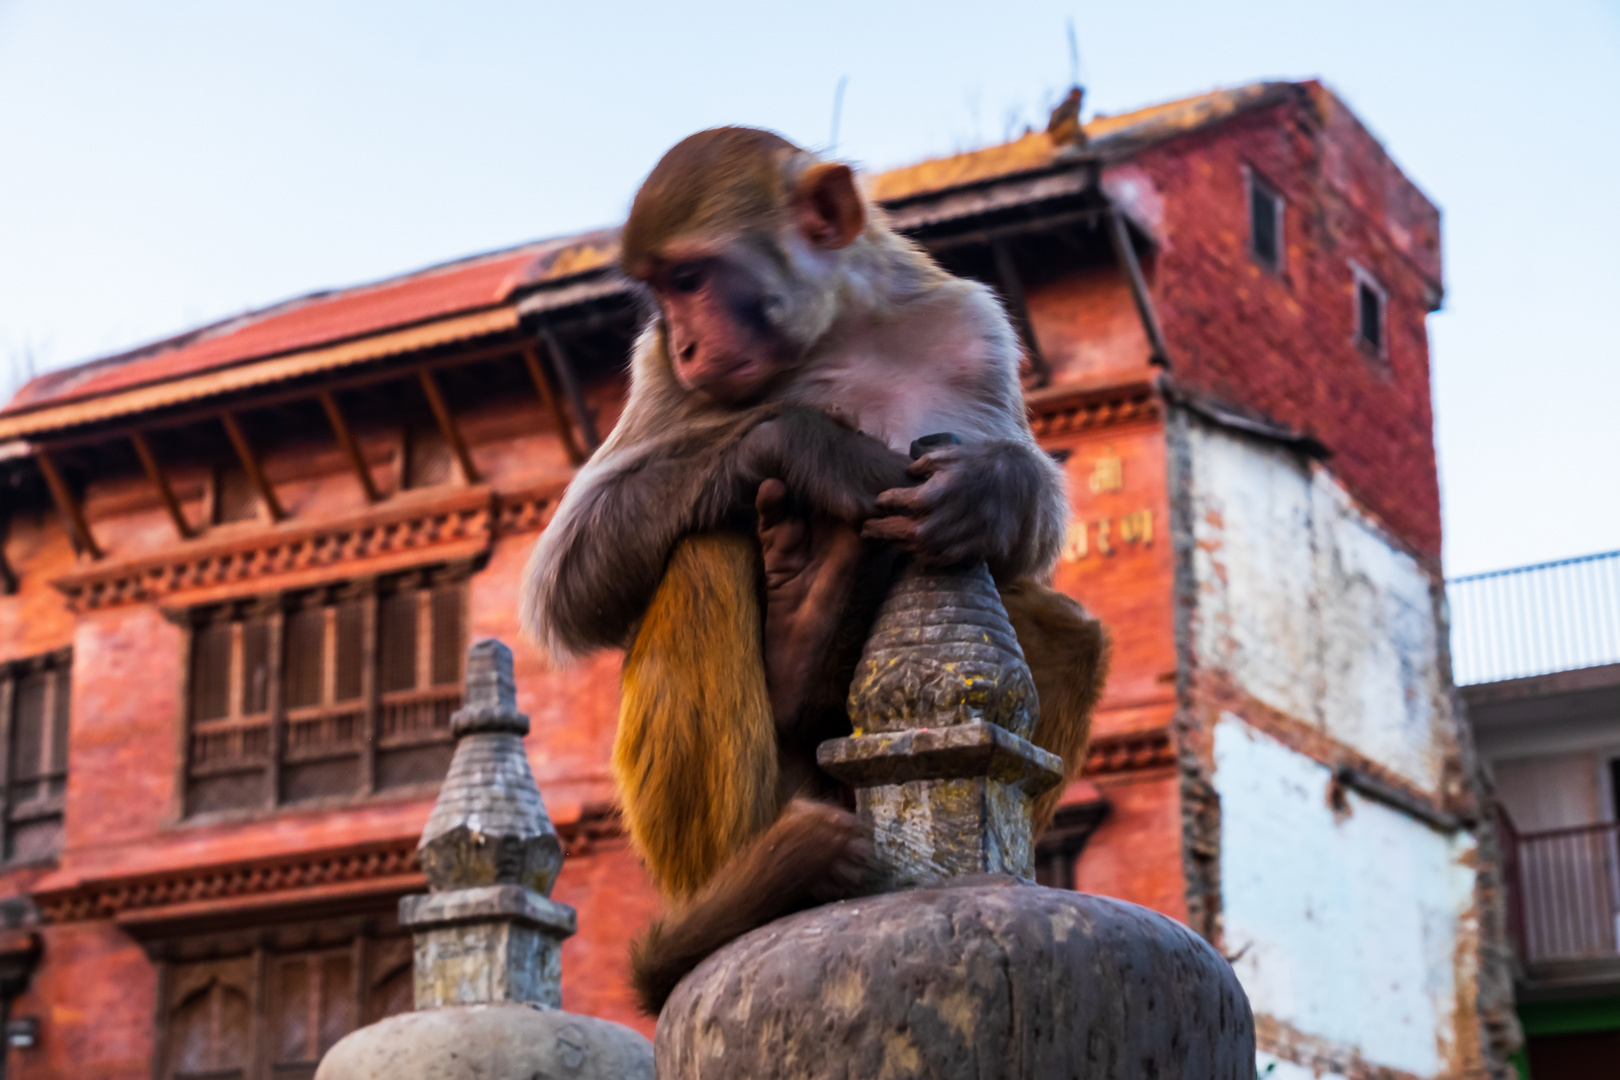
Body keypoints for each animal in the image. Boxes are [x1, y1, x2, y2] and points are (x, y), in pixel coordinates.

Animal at [519, 127, 1110, 1013]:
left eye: (689, 279)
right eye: (661, 295)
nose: (687, 343)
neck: (836, 332)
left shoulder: (972, 325)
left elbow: (1022, 544)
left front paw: (989, 489)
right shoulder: (658, 373)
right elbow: (565, 580)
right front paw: (810, 445)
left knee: (1066, 629)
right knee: (702, 553)